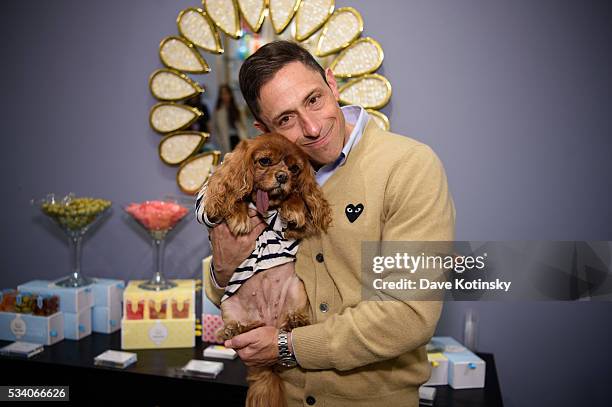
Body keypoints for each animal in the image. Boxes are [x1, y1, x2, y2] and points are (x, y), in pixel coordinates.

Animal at [198, 135, 332, 407]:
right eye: (264, 161)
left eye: (294, 169)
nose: (282, 176)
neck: (266, 204)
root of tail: (268, 322)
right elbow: (231, 197)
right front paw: (239, 215)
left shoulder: (295, 231)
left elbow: (296, 201)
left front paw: (293, 207)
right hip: (229, 307)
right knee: (236, 329)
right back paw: (234, 329)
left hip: (296, 290)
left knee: (290, 322)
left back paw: (295, 321)